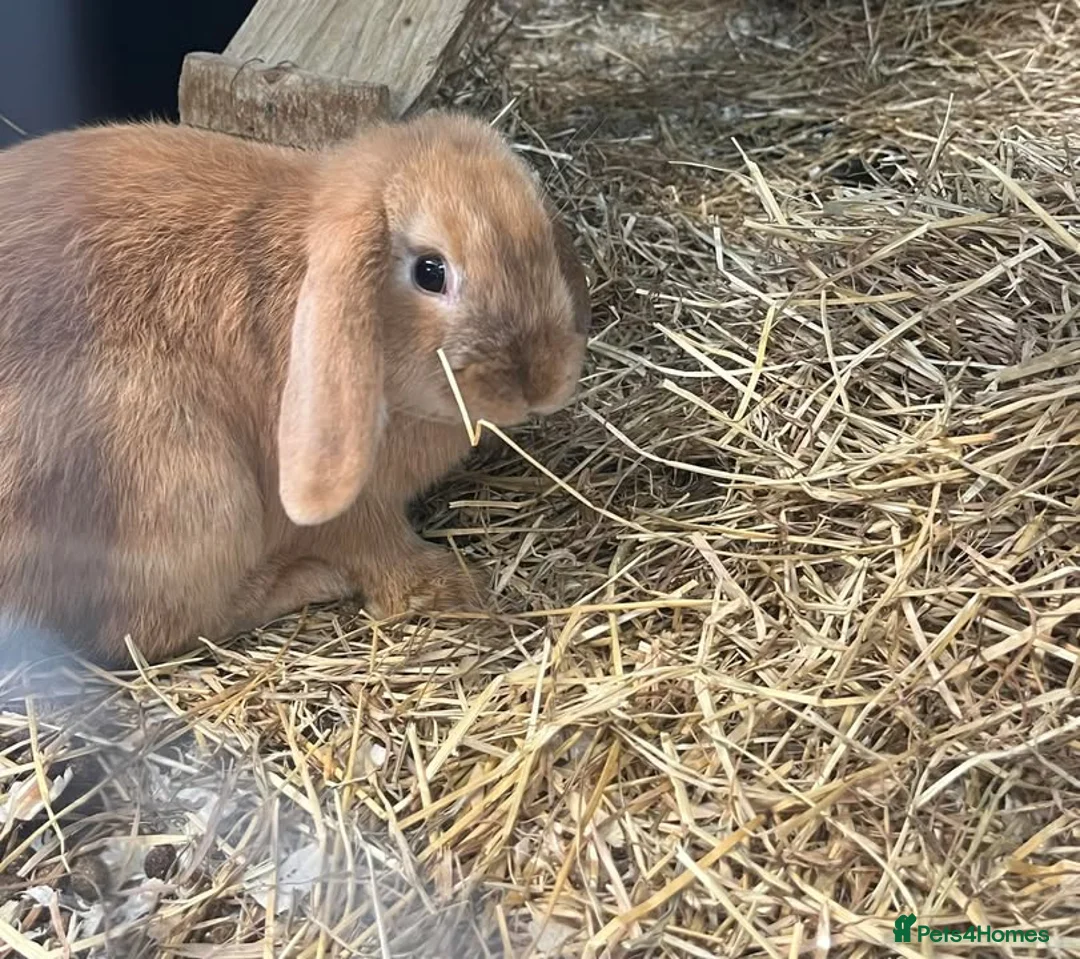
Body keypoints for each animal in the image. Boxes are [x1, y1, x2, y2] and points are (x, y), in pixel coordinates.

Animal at [0, 109, 590, 668]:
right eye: (430, 271)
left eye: (542, 238)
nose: (544, 381)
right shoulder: (357, 512)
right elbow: (380, 552)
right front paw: (450, 587)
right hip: (198, 494)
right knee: (155, 633)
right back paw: (307, 581)